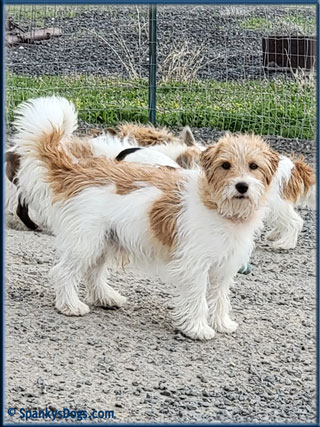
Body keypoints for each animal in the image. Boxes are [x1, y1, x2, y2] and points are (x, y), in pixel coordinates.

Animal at [11, 97, 280, 342]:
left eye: (253, 166)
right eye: (225, 165)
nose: (242, 186)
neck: (218, 206)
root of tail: (79, 169)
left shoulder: (224, 268)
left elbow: (219, 298)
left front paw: (222, 323)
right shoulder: (195, 266)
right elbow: (198, 299)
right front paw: (197, 329)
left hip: (104, 242)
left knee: (93, 273)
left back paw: (106, 298)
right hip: (85, 243)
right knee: (63, 272)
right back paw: (69, 306)